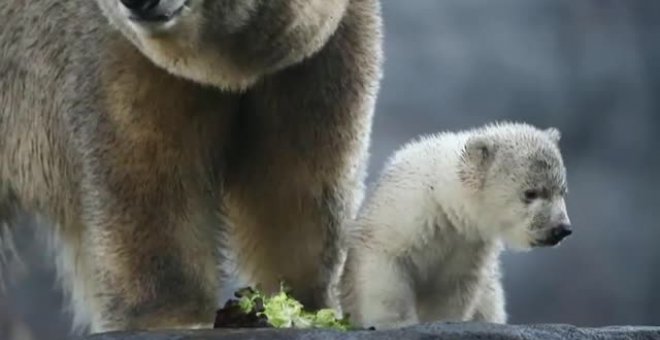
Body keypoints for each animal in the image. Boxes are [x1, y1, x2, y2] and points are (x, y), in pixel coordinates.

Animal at [0, 0, 382, 334]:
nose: (139, 2)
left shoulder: (317, 62)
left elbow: (299, 192)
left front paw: (304, 304)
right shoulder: (119, 57)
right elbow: (150, 190)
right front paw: (172, 317)